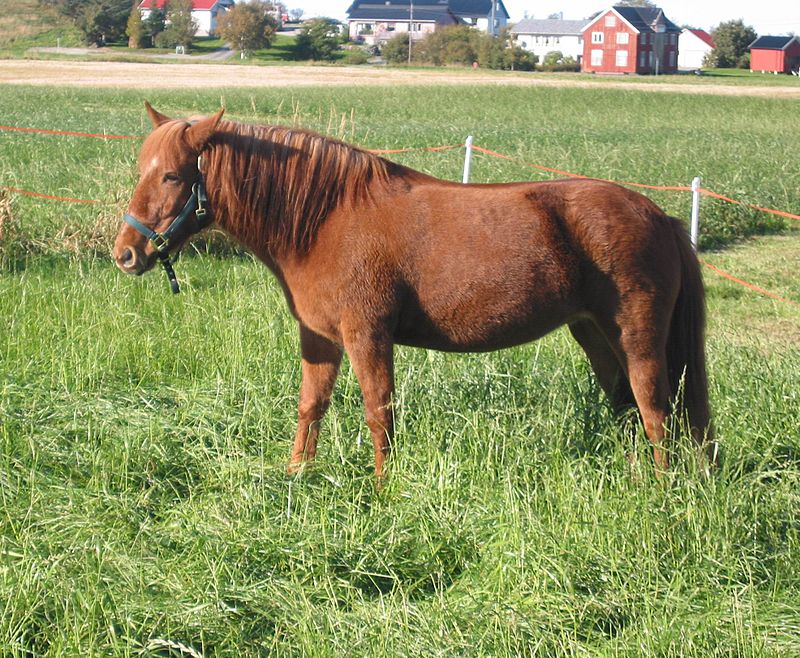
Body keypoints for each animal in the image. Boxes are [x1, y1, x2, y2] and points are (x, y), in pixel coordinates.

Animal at [114, 102, 715, 478]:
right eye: (142, 168)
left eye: (172, 176)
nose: (126, 253)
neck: (328, 219)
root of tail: (659, 216)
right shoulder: (320, 338)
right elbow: (311, 405)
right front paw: (296, 475)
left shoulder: (368, 337)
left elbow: (379, 413)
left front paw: (385, 490)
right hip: (593, 334)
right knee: (628, 408)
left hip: (636, 337)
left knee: (655, 409)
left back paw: (660, 490)